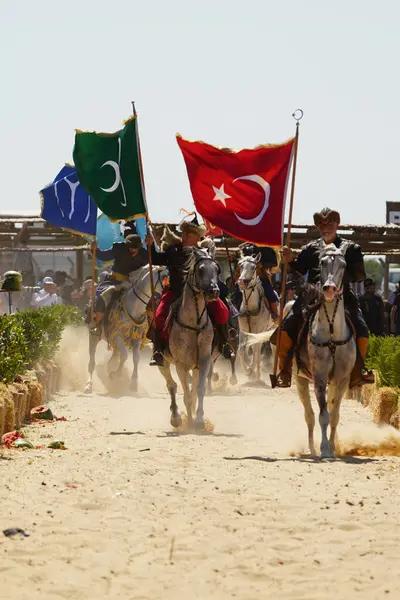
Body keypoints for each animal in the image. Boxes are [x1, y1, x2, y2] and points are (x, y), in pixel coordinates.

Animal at [85, 266, 163, 394]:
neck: (134, 309)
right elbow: (125, 356)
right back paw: (89, 385)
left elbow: (136, 358)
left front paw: (133, 384)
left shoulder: (137, 339)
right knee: (91, 362)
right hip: (94, 335)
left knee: (114, 355)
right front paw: (115, 374)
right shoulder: (118, 336)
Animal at [157, 245, 220, 432]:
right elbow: (186, 395)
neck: (194, 324)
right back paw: (176, 418)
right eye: (201, 269)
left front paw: (198, 420)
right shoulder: (181, 365)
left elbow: (199, 390)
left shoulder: (204, 362)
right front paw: (190, 422)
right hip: (163, 363)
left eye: (216, 269)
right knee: (172, 385)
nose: (214, 291)